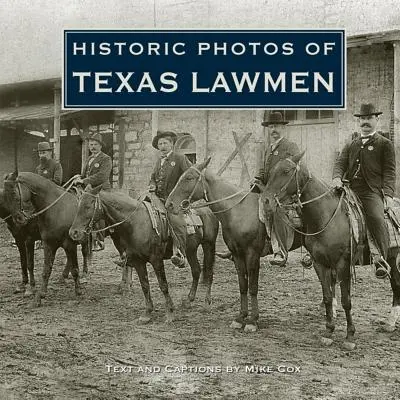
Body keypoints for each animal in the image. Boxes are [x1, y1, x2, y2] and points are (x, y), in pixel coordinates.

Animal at [3, 172, 92, 306]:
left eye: (14, 193)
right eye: (4, 195)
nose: (18, 218)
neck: (57, 209)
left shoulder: (68, 243)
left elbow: (75, 269)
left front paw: (78, 291)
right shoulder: (48, 244)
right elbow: (46, 269)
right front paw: (40, 295)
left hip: (82, 240)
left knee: (84, 252)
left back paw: (85, 274)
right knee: (69, 260)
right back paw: (63, 276)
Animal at [69, 186, 219, 324]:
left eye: (88, 206)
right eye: (78, 206)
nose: (73, 232)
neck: (136, 223)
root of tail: (208, 210)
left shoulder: (156, 260)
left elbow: (163, 285)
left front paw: (170, 313)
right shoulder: (138, 261)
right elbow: (145, 285)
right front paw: (147, 313)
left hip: (209, 245)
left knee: (210, 273)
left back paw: (207, 303)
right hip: (191, 250)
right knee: (196, 271)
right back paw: (189, 300)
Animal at [164, 158, 302, 332]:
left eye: (189, 178)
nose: (169, 204)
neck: (238, 211)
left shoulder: (252, 255)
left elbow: (253, 286)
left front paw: (252, 321)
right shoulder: (237, 255)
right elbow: (243, 285)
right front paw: (240, 318)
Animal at [260, 152, 400, 348]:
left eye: (286, 171)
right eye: (271, 171)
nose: (265, 201)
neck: (326, 217)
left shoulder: (343, 264)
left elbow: (346, 301)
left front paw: (350, 336)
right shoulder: (320, 263)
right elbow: (327, 296)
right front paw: (329, 330)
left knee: (396, 285)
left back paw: (391, 322)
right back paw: (389, 323)